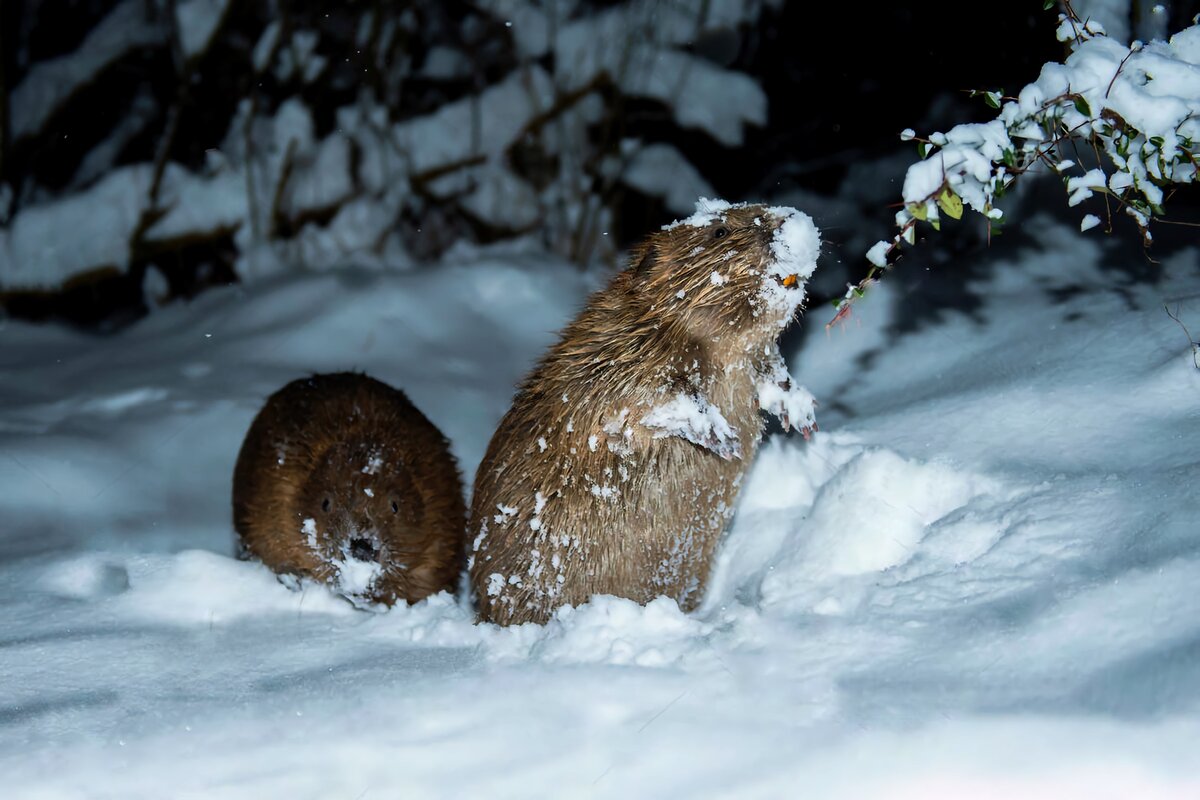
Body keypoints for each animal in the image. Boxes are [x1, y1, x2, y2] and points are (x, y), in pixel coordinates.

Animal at [463, 199, 820, 623]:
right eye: (719, 231)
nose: (791, 224)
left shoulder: (752, 359)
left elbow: (772, 375)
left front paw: (802, 415)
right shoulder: (613, 352)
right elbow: (641, 398)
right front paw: (721, 436)